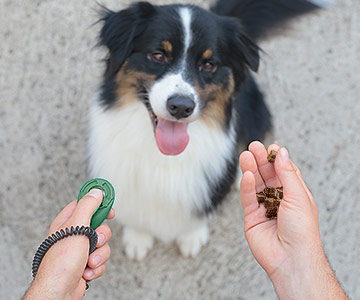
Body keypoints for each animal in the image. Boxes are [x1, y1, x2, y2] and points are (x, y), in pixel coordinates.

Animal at [88, 0, 320, 258]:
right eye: (158, 55)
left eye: (208, 64)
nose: (181, 107)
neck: (164, 156)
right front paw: (138, 237)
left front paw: (192, 235)